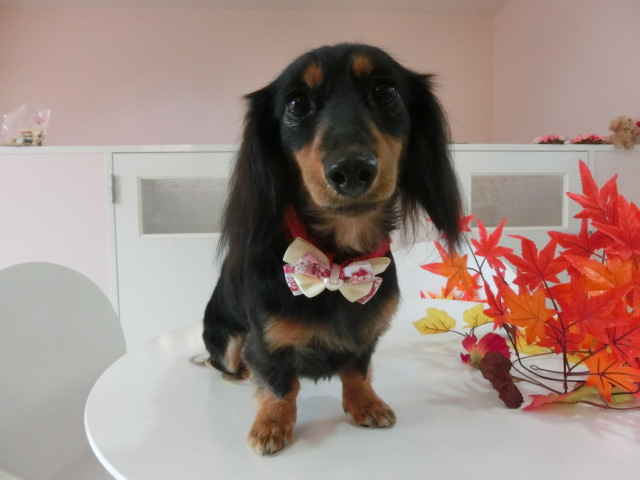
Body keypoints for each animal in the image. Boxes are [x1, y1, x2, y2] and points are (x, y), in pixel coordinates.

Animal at [202, 43, 461, 455]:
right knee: (226, 362)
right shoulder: (266, 343)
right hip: (225, 339)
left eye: (385, 91)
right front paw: (271, 425)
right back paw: (240, 371)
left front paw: (365, 404)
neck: (337, 260)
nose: (352, 169)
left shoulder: (366, 337)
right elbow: (279, 383)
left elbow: (357, 371)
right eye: (296, 103)